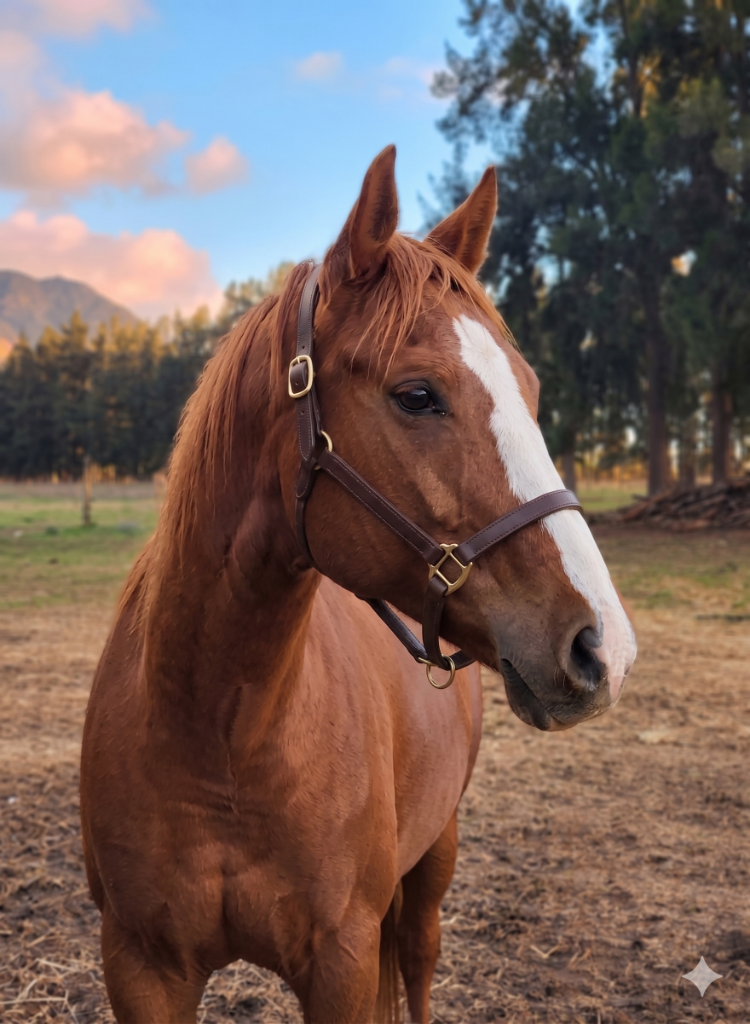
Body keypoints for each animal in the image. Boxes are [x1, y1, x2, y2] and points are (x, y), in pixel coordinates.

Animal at [80, 145, 636, 1024]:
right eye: (417, 395)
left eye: (533, 393)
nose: (604, 647)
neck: (219, 734)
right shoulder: (140, 965)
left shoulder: (338, 957)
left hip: (433, 857)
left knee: (415, 962)